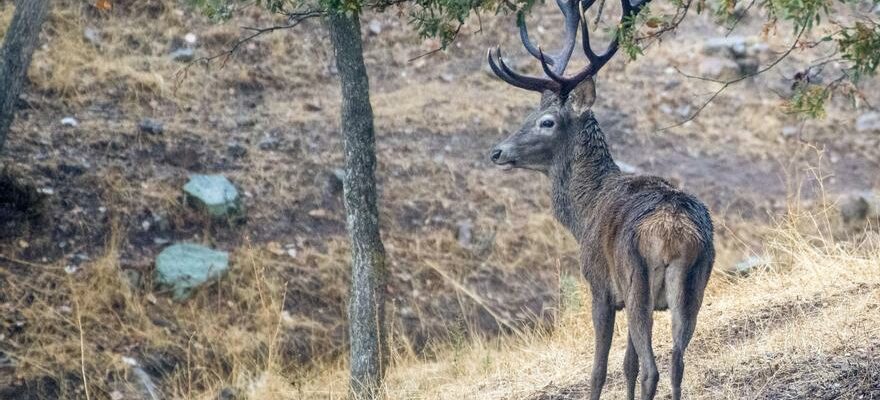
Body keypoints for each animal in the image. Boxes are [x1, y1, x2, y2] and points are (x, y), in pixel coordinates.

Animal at [484, 0, 720, 400]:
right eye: (530, 113)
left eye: (546, 121)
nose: (497, 151)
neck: (585, 212)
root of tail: (674, 235)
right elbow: (627, 365)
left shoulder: (601, 287)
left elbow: (599, 369)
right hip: (695, 285)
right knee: (677, 362)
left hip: (637, 280)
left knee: (653, 369)